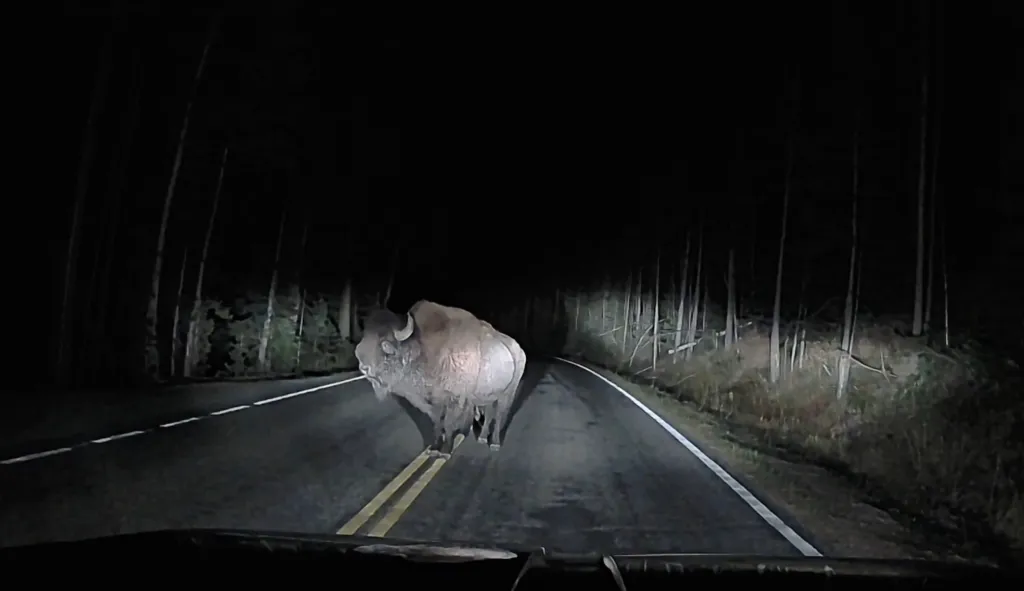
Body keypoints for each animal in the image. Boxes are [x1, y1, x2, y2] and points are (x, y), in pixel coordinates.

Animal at [355, 300, 527, 457]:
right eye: (364, 337)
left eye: (384, 344)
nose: (363, 367)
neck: (423, 350)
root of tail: (519, 349)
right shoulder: (431, 402)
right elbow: (437, 423)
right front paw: (434, 448)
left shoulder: (454, 399)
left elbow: (448, 424)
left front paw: (445, 452)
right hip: (489, 395)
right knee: (490, 413)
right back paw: (483, 438)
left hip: (507, 393)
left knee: (499, 415)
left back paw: (495, 443)